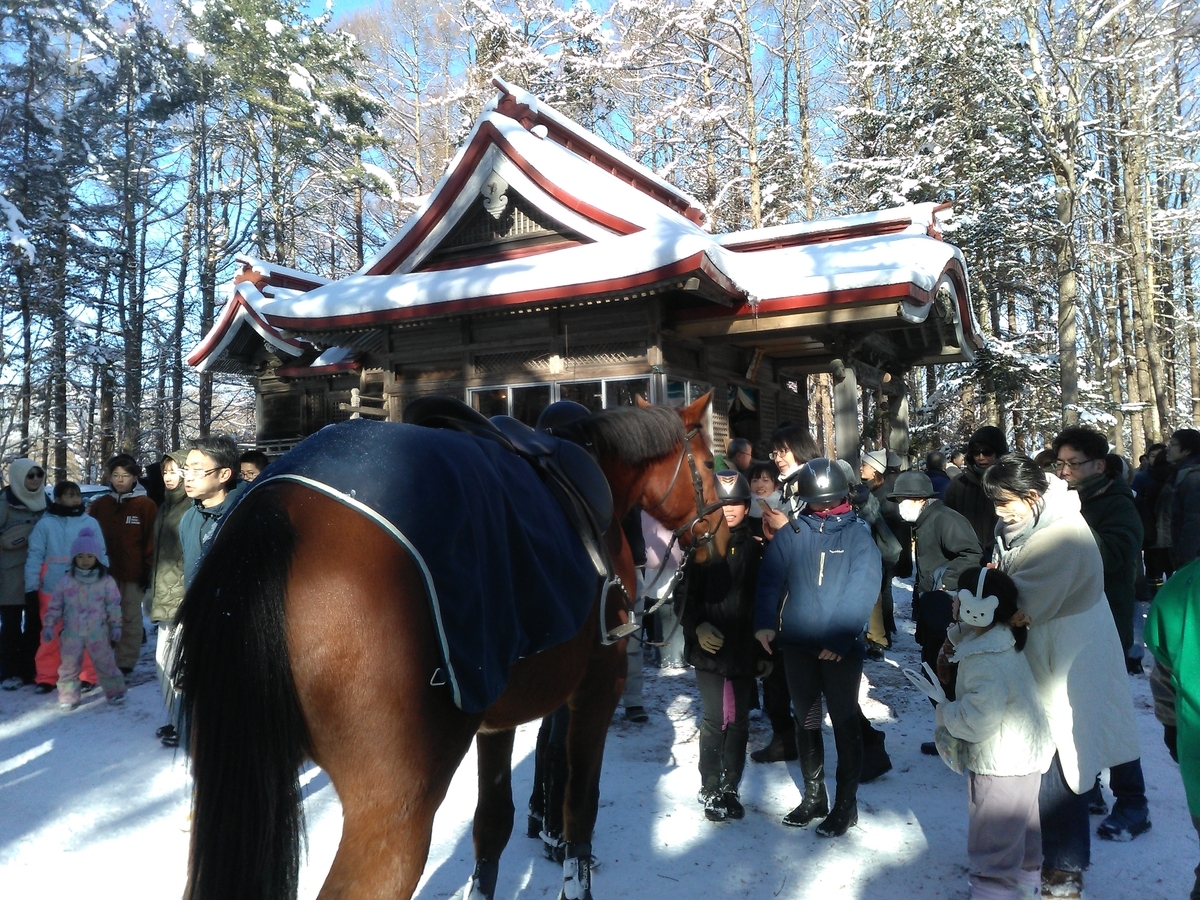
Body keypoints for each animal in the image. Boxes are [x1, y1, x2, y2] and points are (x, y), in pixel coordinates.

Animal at [172, 392, 729, 900]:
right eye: (708, 465)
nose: (723, 538)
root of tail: (275, 509)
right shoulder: (597, 687)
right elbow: (579, 808)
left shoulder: (498, 709)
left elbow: (493, 825)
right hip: (394, 810)